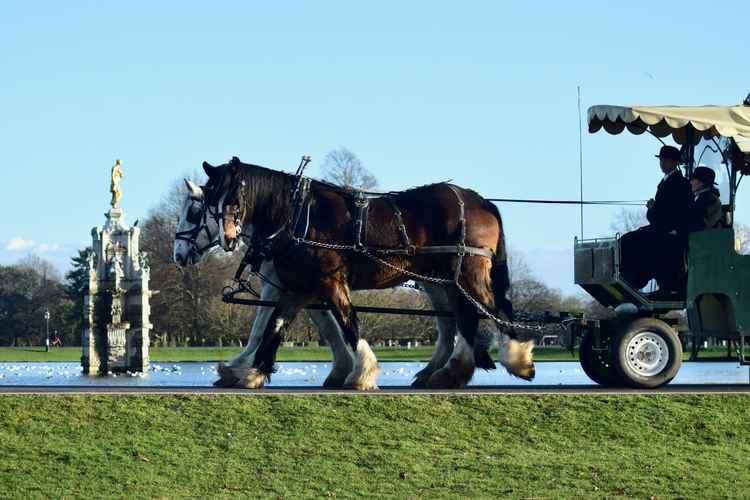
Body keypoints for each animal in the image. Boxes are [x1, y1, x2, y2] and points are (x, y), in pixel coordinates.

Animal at [191, 157, 536, 390]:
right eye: (210, 200)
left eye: (234, 196)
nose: (228, 238)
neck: (298, 215)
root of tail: (478, 200)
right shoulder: (298, 288)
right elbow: (274, 326)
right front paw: (253, 372)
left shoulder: (330, 281)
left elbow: (349, 324)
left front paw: (362, 373)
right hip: (450, 279)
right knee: (465, 318)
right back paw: (451, 372)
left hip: (467, 273)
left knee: (492, 309)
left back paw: (517, 359)